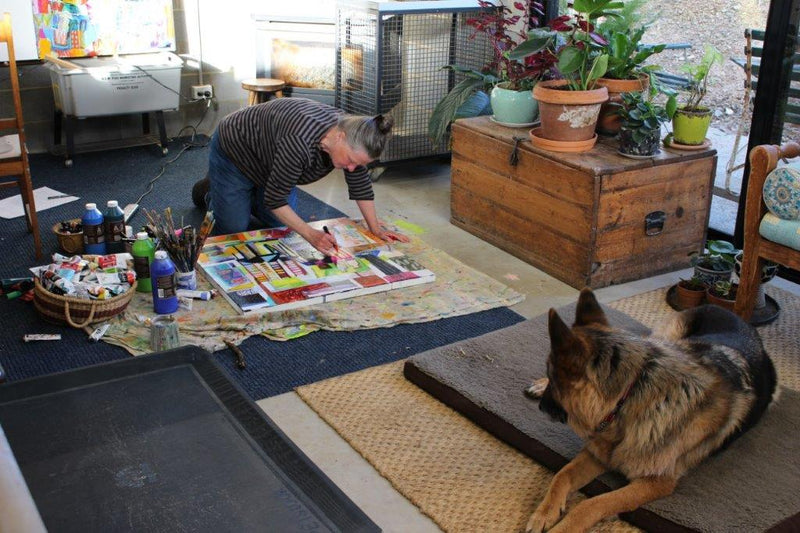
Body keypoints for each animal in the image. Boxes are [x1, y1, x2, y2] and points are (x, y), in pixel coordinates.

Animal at [524, 288, 776, 528]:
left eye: (554, 379)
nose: (541, 407)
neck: (628, 399)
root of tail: (739, 317)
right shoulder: (598, 454)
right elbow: (561, 475)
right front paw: (543, 513)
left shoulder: (656, 482)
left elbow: (591, 504)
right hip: (667, 339)